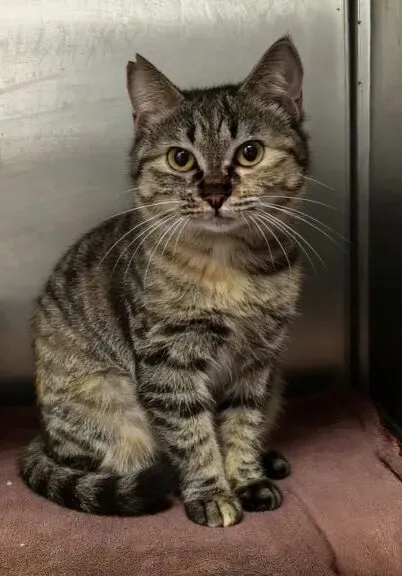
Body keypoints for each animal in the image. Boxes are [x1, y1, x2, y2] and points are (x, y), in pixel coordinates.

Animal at [19, 35, 310, 527]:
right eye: (180, 158)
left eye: (250, 152)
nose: (215, 192)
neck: (229, 268)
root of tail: (43, 437)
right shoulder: (168, 361)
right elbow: (193, 434)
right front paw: (212, 493)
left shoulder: (258, 364)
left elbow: (241, 425)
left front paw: (247, 478)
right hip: (108, 405)